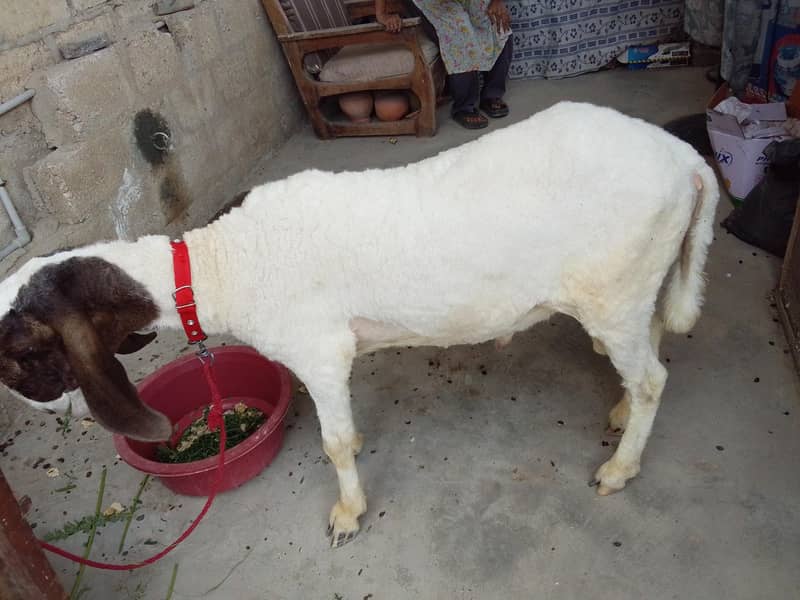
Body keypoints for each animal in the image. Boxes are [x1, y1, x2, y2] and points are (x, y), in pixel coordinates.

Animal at [0, 101, 719, 547]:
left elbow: (336, 443)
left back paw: (620, 467)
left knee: (653, 378)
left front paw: (347, 514)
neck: (225, 260)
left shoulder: (319, 350)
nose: (53, 412)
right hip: (635, 281)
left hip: (612, 287)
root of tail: (688, 161)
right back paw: (621, 411)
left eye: (20, 353)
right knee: (652, 335)